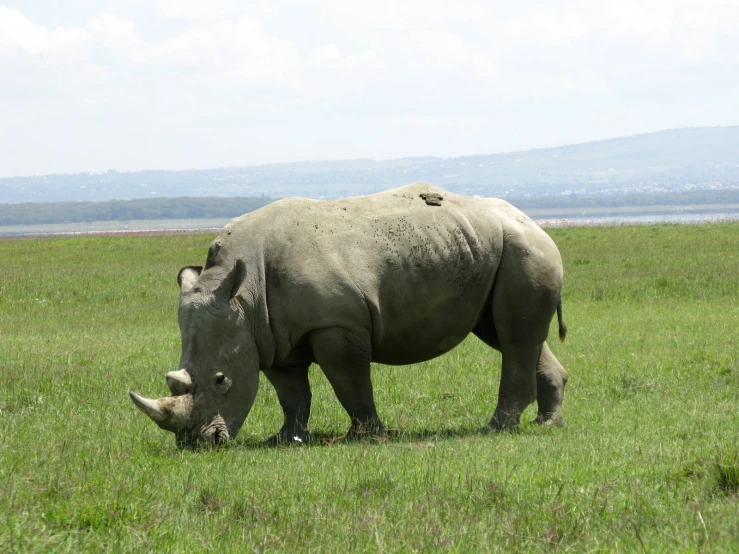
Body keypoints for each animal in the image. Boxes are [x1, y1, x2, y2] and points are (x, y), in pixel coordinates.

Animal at [130, 183, 568, 446]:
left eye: (221, 381)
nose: (198, 444)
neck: (243, 294)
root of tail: (534, 222)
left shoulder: (336, 324)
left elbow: (349, 382)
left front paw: (366, 436)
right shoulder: (268, 334)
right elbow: (291, 393)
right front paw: (285, 439)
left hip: (523, 251)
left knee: (513, 336)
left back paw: (496, 428)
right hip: (495, 252)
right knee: (507, 333)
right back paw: (546, 424)